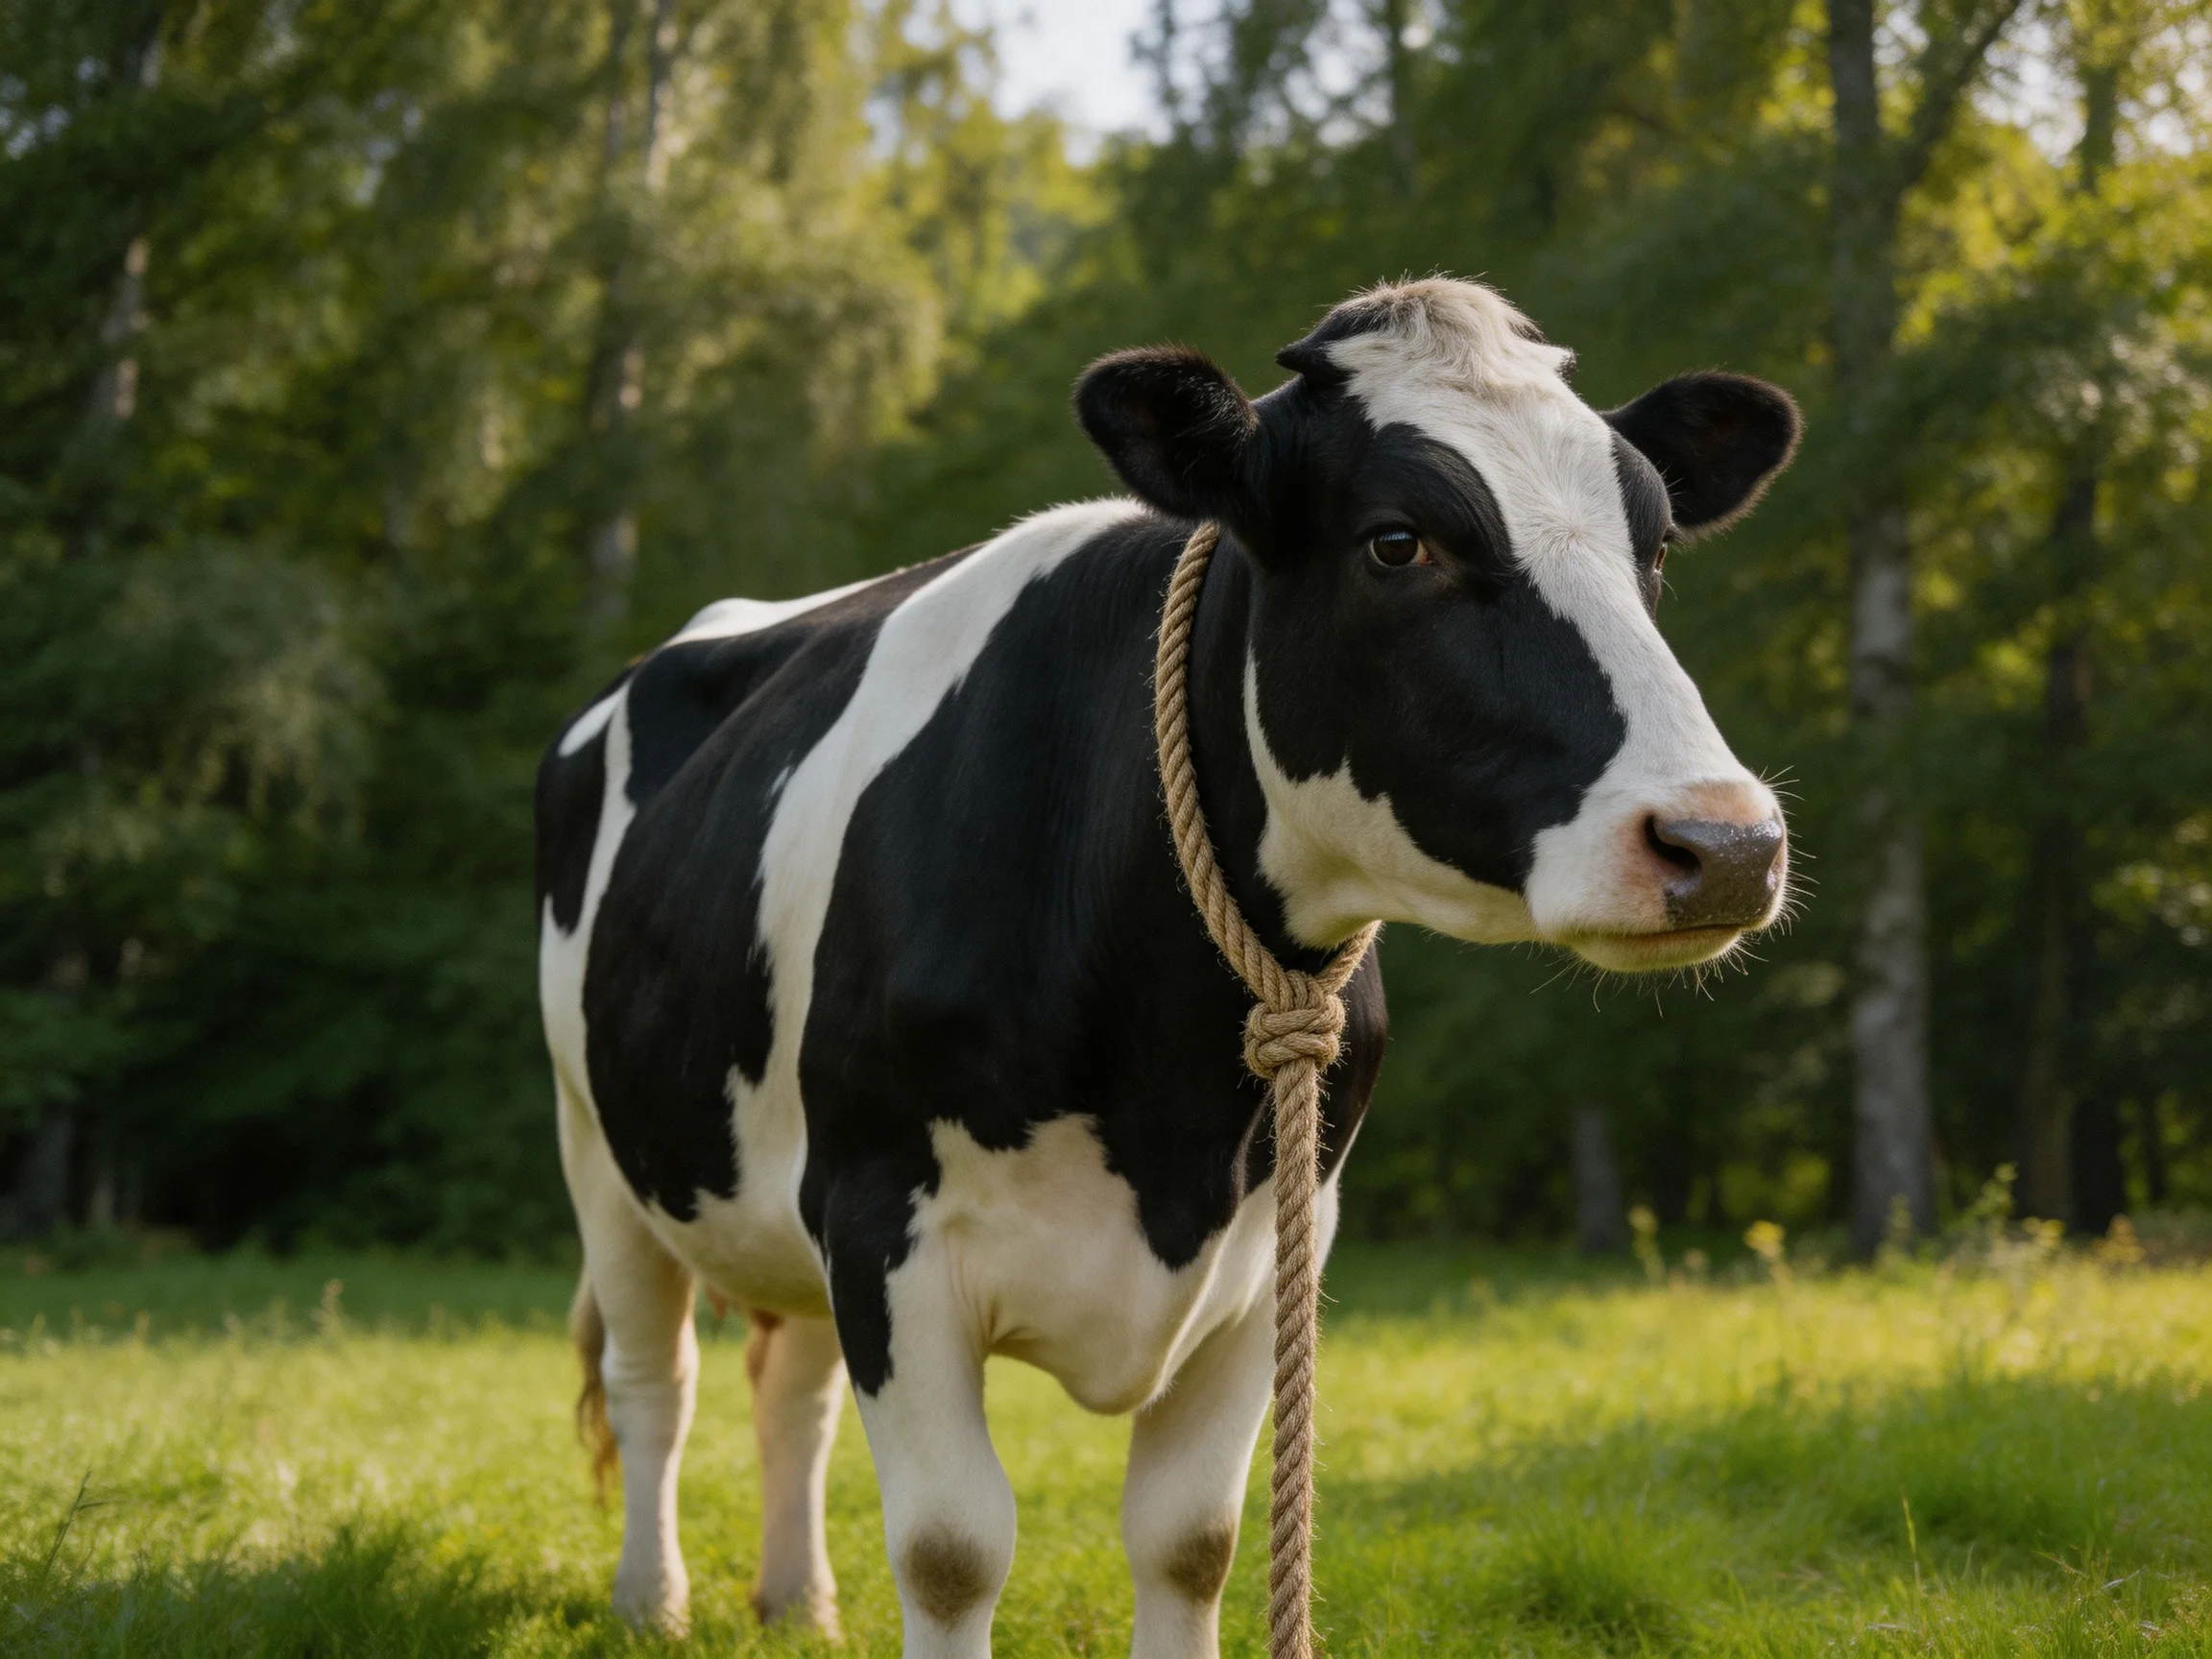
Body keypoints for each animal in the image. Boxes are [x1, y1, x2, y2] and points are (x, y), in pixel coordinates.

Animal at [534, 276, 1798, 1658]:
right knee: (652, 1381)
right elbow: (950, 1550)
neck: (1166, 1097)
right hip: (600, 1143)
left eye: (1656, 548)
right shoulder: (882, 1224)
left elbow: (1191, 1540)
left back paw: (797, 1601)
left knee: (790, 1390)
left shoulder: (1273, 1244)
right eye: (1397, 542)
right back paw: (652, 1602)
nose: (1726, 843)